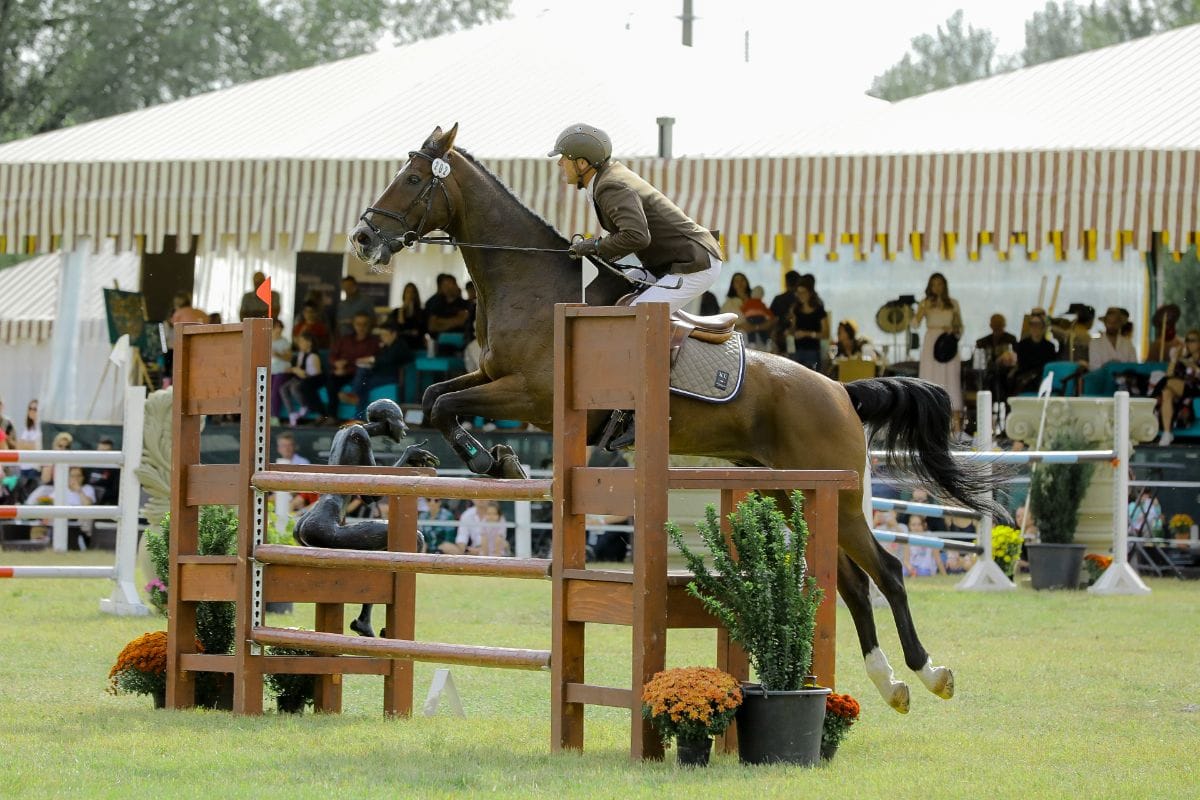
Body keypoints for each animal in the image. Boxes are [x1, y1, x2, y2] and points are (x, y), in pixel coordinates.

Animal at [346, 123, 1003, 713]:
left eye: (411, 179)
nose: (362, 238)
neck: (531, 284)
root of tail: (842, 390)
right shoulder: (492, 378)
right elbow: (437, 398)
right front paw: (497, 461)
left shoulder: (529, 395)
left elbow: (446, 405)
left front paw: (494, 462)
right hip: (790, 489)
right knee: (850, 582)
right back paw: (888, 684)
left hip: (835, 494)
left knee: (886, 572)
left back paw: (928, 674)